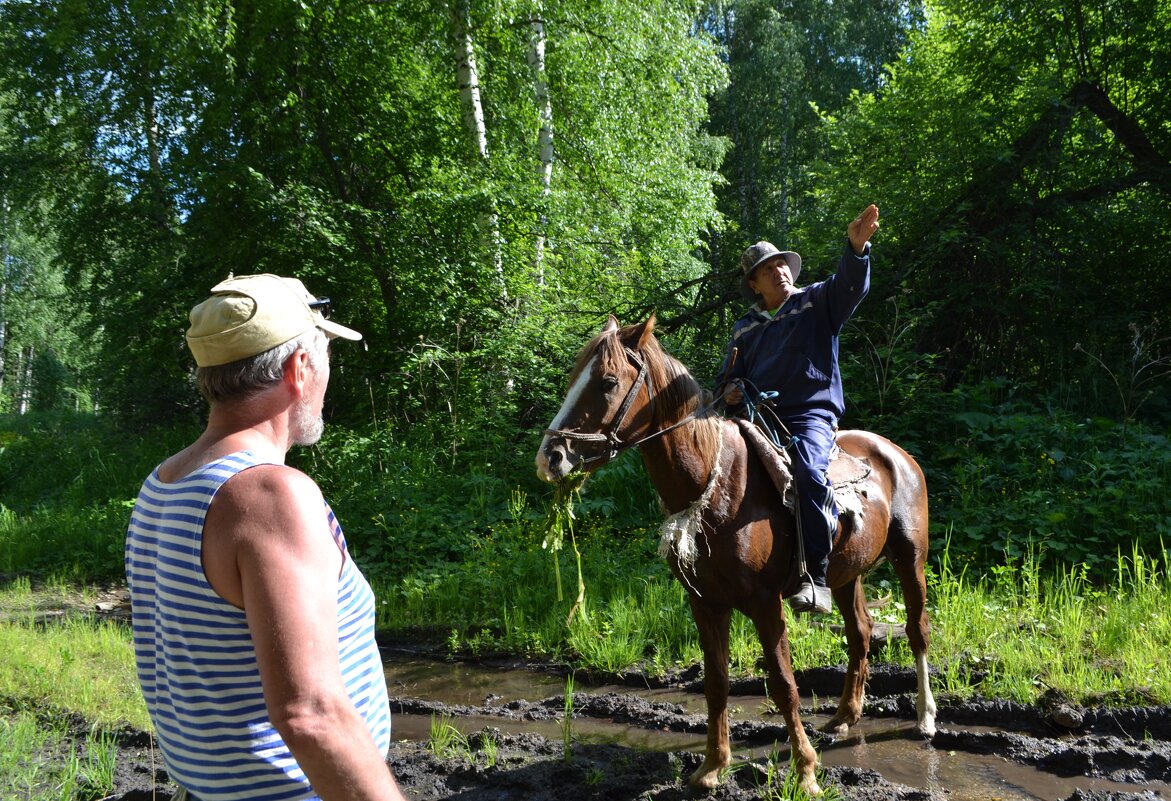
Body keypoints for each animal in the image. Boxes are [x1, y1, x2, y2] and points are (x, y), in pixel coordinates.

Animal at [536, 318, 932, 796]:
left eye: (608, 382)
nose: (551, 457)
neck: (716, 483)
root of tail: (896, 453)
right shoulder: (705, 603)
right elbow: (716, 681)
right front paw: (711, 766)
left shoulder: (765, 604)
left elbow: (783, 684)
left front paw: (806, 772)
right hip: (844, 575)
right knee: (860, 632)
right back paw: (843, 717)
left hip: (910, 558)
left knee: (917, 630)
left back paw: (925, 718)